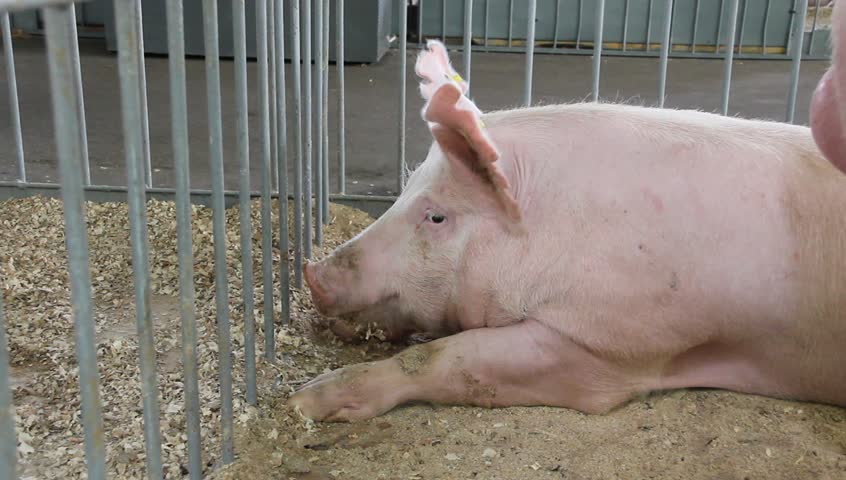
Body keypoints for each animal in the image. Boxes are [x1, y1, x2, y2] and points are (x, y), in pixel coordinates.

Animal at [288, 39, 846, 422]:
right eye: (403, 189)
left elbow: (444, 357)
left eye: (437, 216)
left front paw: (306, 401)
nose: (313, 272)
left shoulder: (609, 346)